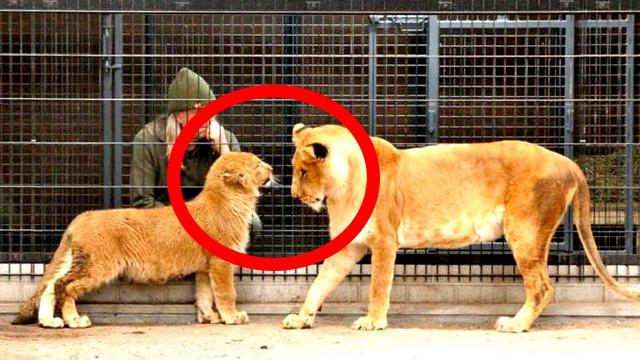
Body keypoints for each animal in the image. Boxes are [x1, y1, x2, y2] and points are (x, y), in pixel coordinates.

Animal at [12, 152, 272, 330]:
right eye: (257, 165)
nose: (271, 168)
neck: (234, 200)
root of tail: (82, 217)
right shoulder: (220, 262)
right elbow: (226, 292)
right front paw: (232, 317)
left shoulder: (204, 266)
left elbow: (205, 295)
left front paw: (210, 317)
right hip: (98, 266)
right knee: (64, 286)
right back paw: (74, 320)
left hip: (77, 260)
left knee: (50, 285)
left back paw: (50, 322)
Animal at [284, 123, 640, 332]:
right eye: (294, 169)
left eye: (303, 171)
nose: (294, 196)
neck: (341, 189)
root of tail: (569, 162)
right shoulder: (349, 246)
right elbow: (320, 283)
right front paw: (302, 317)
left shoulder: (385, 239)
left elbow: (378, 286)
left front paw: (373, 321)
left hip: (524, 231)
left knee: (542, 287)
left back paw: (515, 324)